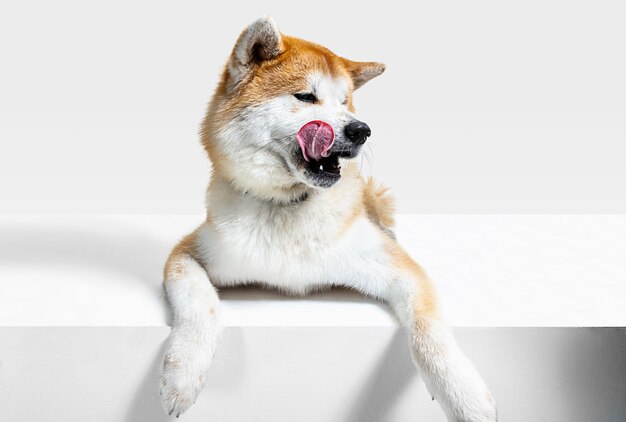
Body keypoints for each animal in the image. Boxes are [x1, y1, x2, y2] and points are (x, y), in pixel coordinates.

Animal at [161, 16, 498, 422]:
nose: (361, 130)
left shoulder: (398, 268)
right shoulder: (188, 252)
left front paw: (466, 397)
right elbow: (202, 305)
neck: (288, 205)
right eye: (306, 97)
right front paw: (183, 375)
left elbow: (429, 333)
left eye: (346, 101)